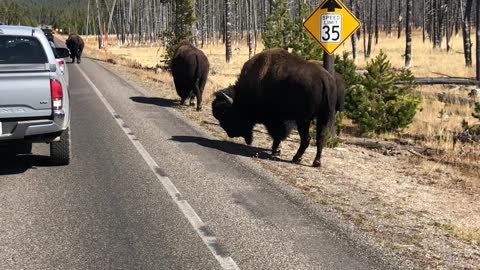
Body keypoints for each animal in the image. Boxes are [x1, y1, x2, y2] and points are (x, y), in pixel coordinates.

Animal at [212, 48, 340, 167]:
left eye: (227, 114)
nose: (230, 133)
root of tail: (324, 79)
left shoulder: (274, 120)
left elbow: (277, 134)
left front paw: (276, 150)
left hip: (304, 120)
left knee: (306, 139)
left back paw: (296, 158)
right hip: (323, 117)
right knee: (320, 137)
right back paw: (316, 162)